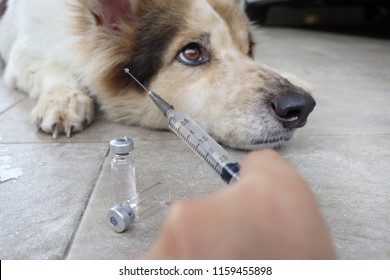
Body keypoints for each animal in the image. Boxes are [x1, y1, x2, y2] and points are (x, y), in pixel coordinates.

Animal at [0, 0, 316, 149]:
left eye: (249, 49)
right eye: (191, 53)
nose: (301, 108)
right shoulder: (21, 54)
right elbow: (53, 69)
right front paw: (64, 101)